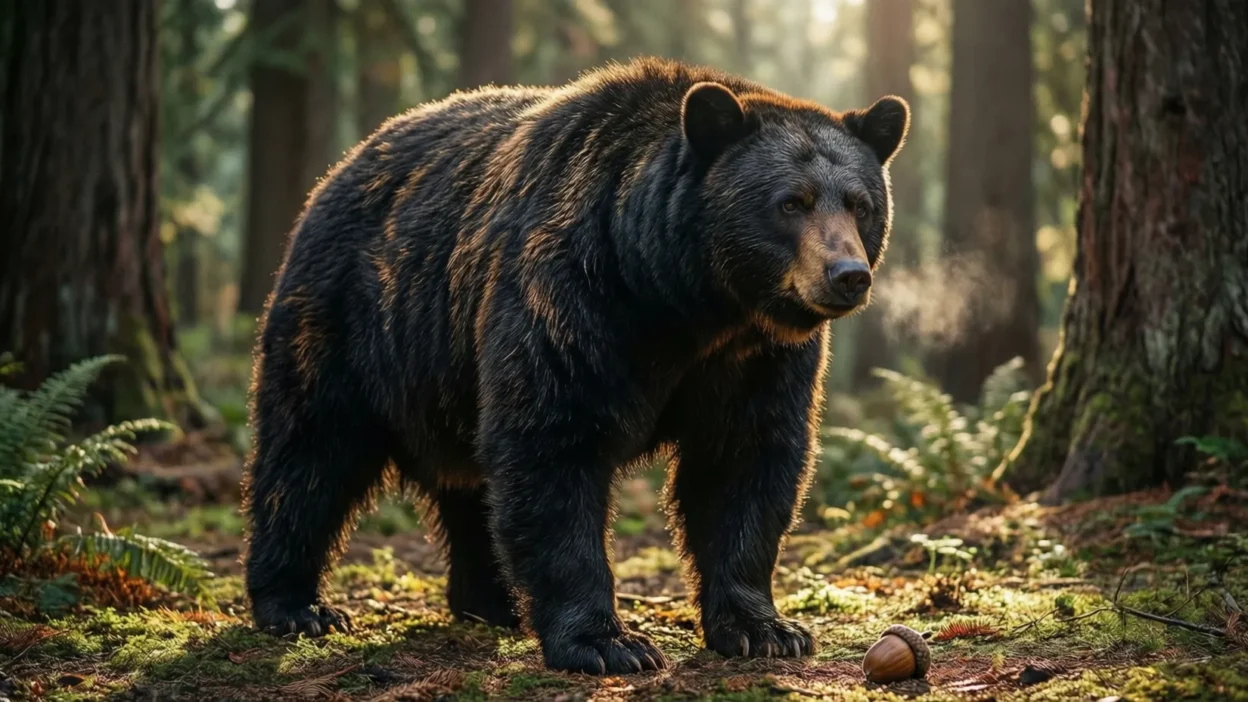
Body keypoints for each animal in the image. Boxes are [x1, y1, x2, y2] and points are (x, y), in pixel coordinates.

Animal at [243, 57, 908, 675]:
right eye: (791, 202)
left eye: (860, 204)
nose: (847, 275)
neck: (684, 298)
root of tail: (342, 167)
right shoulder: (573, 298)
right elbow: (554, 447)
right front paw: (608, 643)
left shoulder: (757, 357)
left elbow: (744, 461)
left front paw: (765, 629)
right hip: (353, 320)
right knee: (311, 452)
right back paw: (298, 605)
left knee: (468, 485)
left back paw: (492, 602)